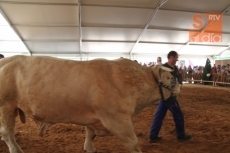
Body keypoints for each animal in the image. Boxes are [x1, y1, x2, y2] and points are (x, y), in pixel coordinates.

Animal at [0, 56, 180, 153]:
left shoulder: (95, 118)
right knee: (7, 132)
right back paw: (16, 149)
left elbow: (90, 133)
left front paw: (89, 147)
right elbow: (133, 142)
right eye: (170, 78)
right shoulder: (118, 120)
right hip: (6, 106)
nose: (179, 85)